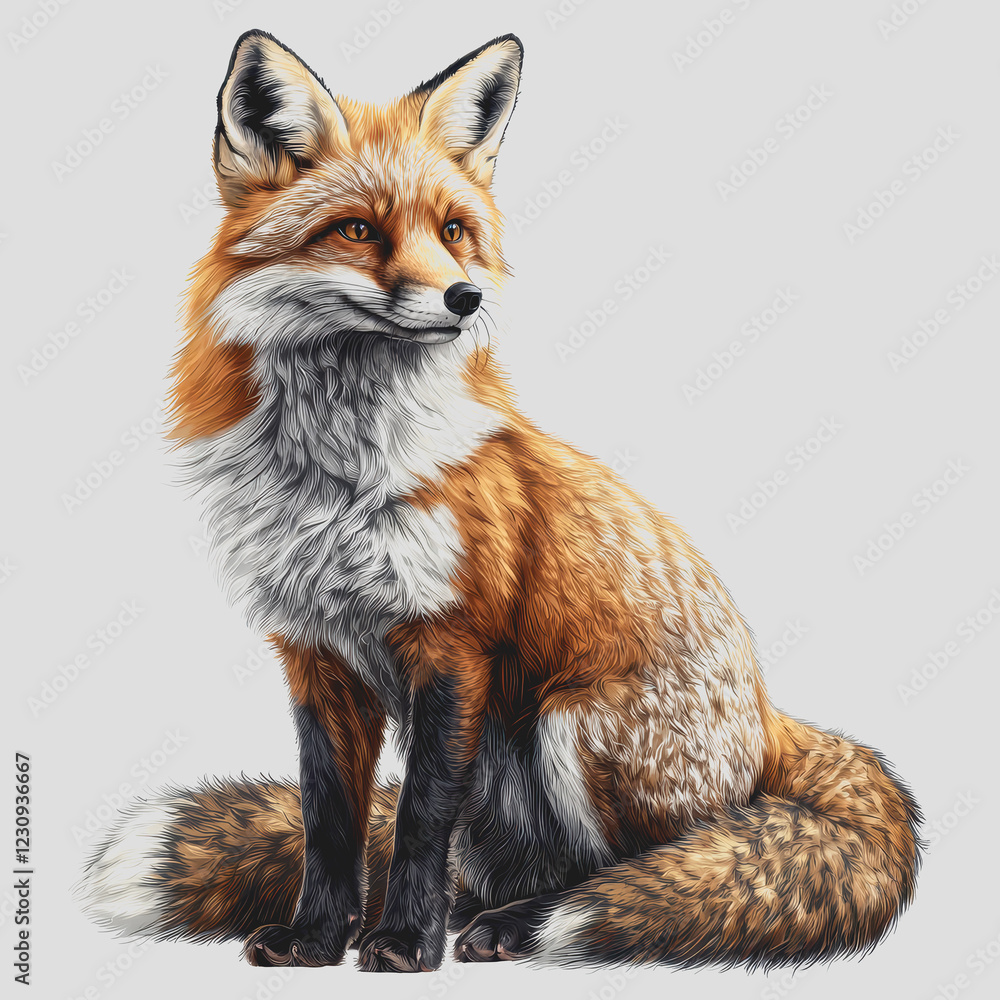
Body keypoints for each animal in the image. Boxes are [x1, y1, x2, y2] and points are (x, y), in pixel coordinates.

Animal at [79, 30, 921, 972]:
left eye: (454, 231)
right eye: (357, 229)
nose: (463, 297)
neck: (336, 481)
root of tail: (772, 721)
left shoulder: (453, 644)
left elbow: (416, 822)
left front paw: (401, 943)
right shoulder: (315, 653)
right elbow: (329, 822)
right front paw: (317, 939)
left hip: (570, 727)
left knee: (637, 867)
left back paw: (517, 926)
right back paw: (480, 913)